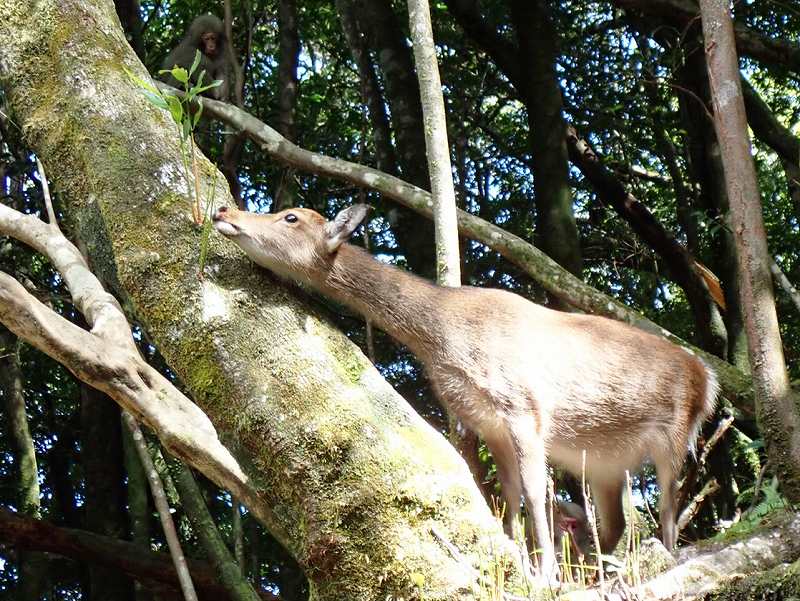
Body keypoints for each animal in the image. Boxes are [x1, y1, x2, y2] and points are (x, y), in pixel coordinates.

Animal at [212, 204, 720, 576]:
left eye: (290, 217)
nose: (223, 209)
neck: (444, 340)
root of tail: (708, 377)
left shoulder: (524, 406)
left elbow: (534, 492)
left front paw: (547, 574)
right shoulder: (486, 421)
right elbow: (508, 495)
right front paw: (519, 557)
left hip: (676, 432)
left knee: (671, 502)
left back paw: (664, 554)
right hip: (605, 464)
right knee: (615, 522)